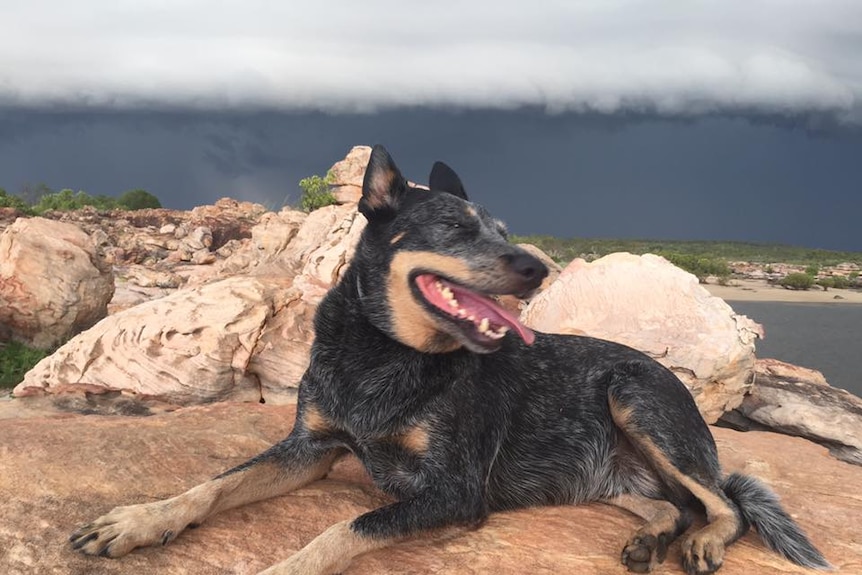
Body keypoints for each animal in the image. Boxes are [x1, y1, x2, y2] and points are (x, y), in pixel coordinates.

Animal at [72, 146, 832, 572]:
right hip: (612, 476)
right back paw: (652, 540)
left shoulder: (454, 490)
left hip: (636, 400)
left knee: (722, 502)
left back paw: (705, 542)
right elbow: (211, 486)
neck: (382, 354)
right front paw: (137, 520)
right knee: (672, 506)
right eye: (456, 227)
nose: (537, 267)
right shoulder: (308, 449)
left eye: (506, 230)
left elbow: (339, 530)